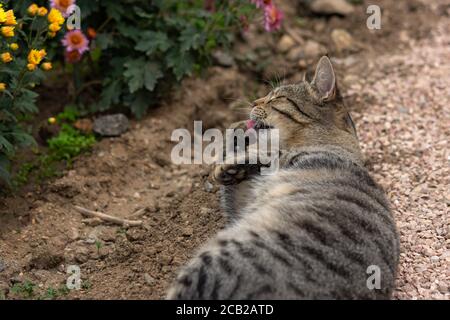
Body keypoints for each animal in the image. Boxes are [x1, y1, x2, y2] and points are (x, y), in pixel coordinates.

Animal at [167, 56, 400, 298]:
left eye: (276, 98)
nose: (254, 102)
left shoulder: (282, 161)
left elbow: (265, 154)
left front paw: (236, 157)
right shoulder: (240, 202)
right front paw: (237, 134)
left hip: (219, 257)